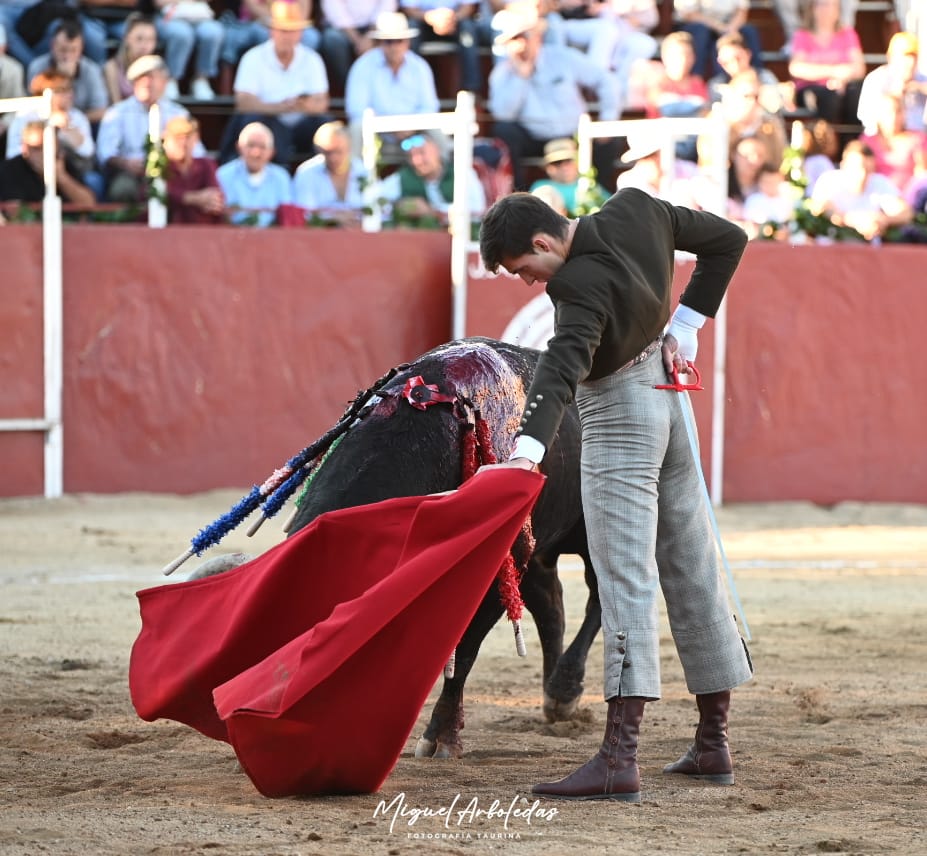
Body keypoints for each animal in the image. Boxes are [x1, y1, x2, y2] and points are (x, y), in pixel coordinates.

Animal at [286, 338, 604, 760]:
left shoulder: (495, 576)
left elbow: (465, 648)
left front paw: (441, 737)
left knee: (603, 595)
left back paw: (564, 689)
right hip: (538, 548)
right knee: (552, 605)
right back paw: (553, 699)